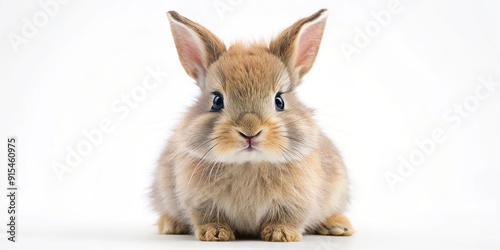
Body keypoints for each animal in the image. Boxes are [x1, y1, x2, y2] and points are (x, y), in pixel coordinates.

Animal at [150, 8, 354, 241]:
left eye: (279, 101)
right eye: (217, 100)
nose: (250, 131)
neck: (249, 163)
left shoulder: (296, 202)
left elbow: (289, 218)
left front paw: (280, 234)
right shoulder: (200, 202)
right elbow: (207, 216)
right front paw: (215, 233)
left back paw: (338, 227)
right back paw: (170, 225)